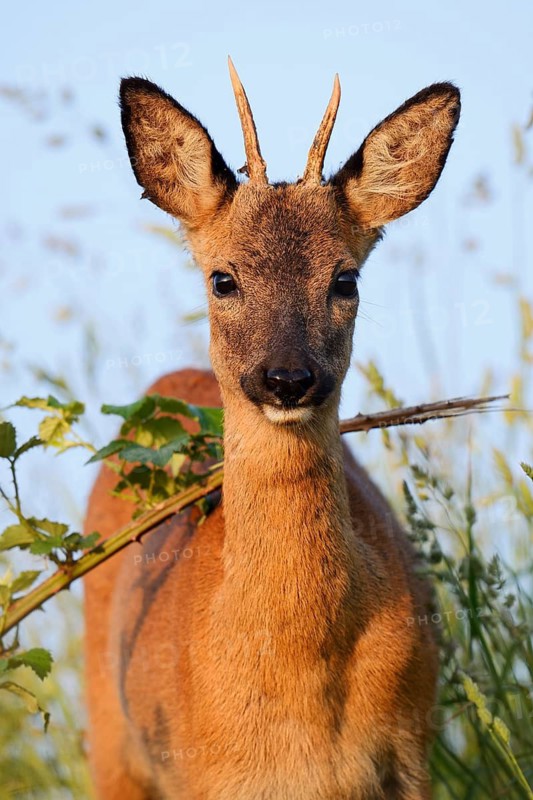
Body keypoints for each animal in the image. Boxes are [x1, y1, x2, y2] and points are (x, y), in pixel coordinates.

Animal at [84, 59, 460, 800]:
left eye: (345, 278)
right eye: (222, 279)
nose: (288, 378)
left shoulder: (412, 758)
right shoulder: (204, 775)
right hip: (109, 736)